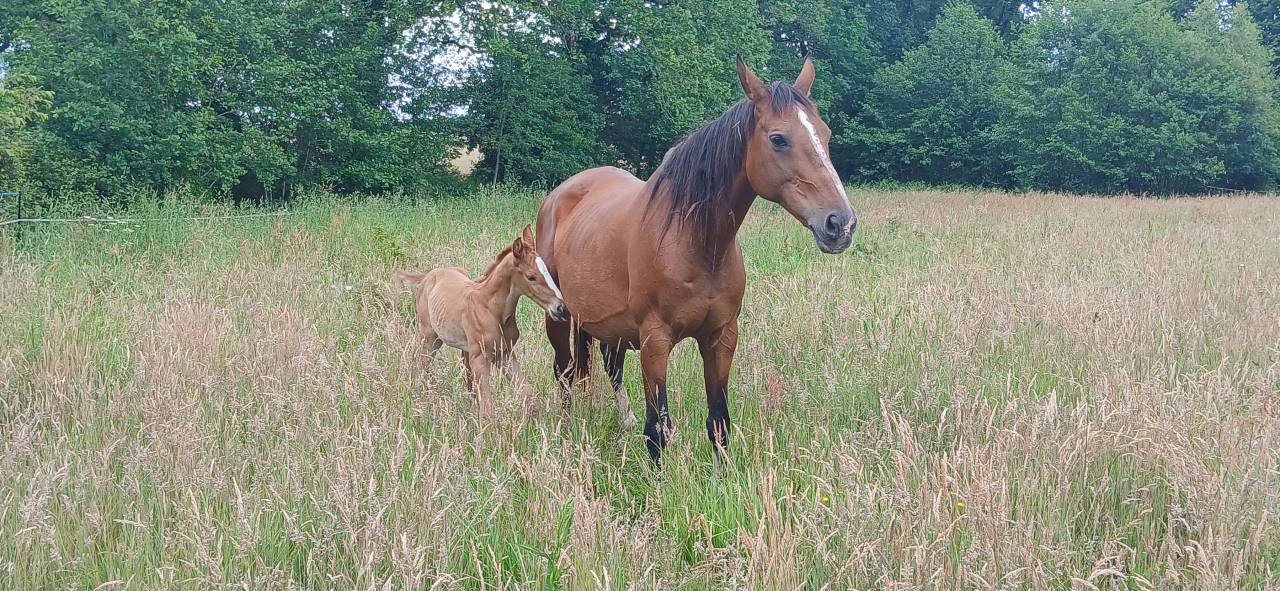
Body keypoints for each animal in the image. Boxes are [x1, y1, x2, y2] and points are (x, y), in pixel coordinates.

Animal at [395, 225, 568, 414]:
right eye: (531, 277)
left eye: (548, 272)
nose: (560, 308)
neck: (492, 310)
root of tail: (429, 274)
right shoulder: (480, 358)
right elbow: (487, 410)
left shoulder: (504, 354)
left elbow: (530, 397)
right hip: (430, 337)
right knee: (422, 367)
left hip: (464, 349)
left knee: (466, 378)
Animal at [534, 56, 856, 464]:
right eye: (778, 139)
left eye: (825, 135)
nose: (841, 223)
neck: (696, 243)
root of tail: (560, 194)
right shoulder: (655, 343)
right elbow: (658, 429)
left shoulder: (721, 338)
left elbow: (718, 420)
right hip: (558, 318)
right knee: (564, 372)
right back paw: (567, 430)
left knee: (609, 365)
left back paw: (621, 421)